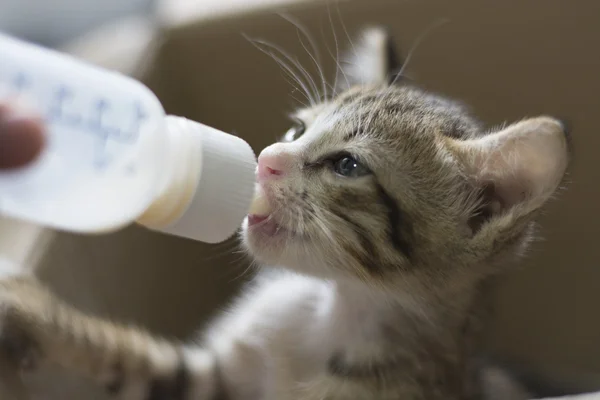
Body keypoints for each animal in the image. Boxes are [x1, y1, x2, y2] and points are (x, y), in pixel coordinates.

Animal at [0, 28, 572, 400]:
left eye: (348, 164)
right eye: (298, 129)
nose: (267, 158)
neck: (333, 311)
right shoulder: (215, 380)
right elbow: (140, 361)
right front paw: (31, 313)